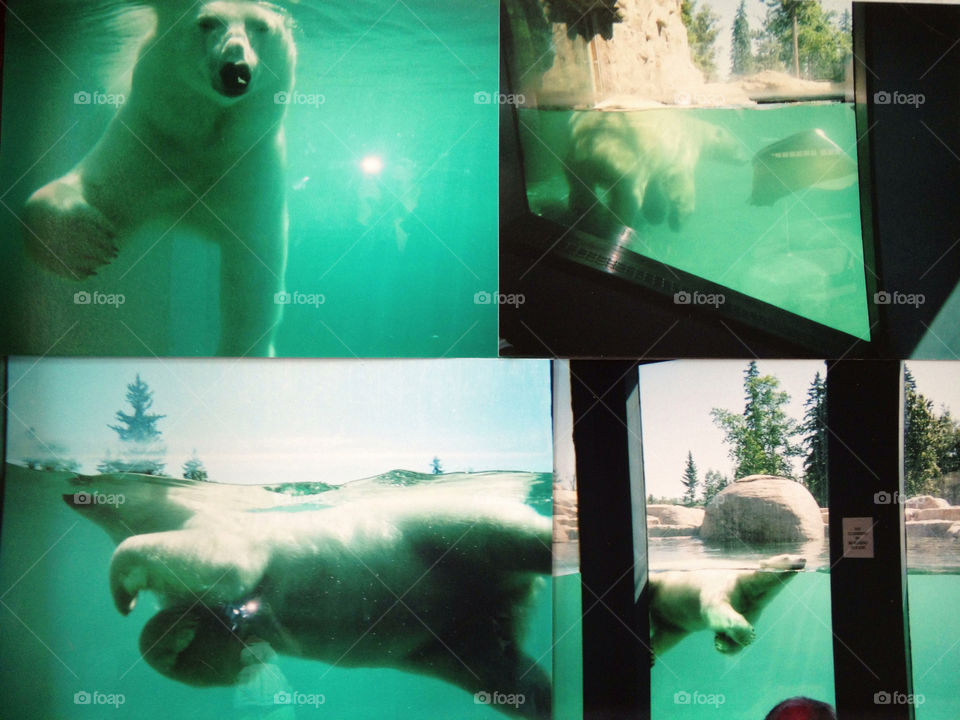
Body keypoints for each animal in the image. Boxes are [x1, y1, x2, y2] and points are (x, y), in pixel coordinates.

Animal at [22, 1, 296, 356]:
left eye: (261, 27)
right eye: (206, 23)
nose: (236, 69)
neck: (201, 145)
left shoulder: (248, 164)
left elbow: (252, 267)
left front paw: (240, 352)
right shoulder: (148, 140)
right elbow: (96, 191)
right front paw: (86, 244)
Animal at [63, 472, 552, 719]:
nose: (73, 490)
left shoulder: (229, 532)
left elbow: (218, 559)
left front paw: (124, 589)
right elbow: (218, 635)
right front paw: (176, 640)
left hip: (443, 529)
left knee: (513, 534)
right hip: (442, 640)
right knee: (495, 669)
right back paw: (536, 694)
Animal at [564, 110, 748, 232]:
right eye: (738, 145)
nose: (746, 158)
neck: (696, 130)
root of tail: (590, 143)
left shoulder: (659, 157)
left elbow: (656, 185)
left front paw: (656, 214)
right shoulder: (684, 147)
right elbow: (680, 176)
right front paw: (678, 219)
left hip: (573, 156)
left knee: (578, 184)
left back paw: (583, 211)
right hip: (626, 157)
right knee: (628, 197)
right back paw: (616, 224)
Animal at [648, 554, 805, 660]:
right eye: (786, 557)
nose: (803, 559)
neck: (746, 587)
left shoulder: (752, 607)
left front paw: (722, 643)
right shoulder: (726, 584)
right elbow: (716, 607)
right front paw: (749, 635)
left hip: (674, 623)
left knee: (666, 637)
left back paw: (652, 654)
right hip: (660, 584)